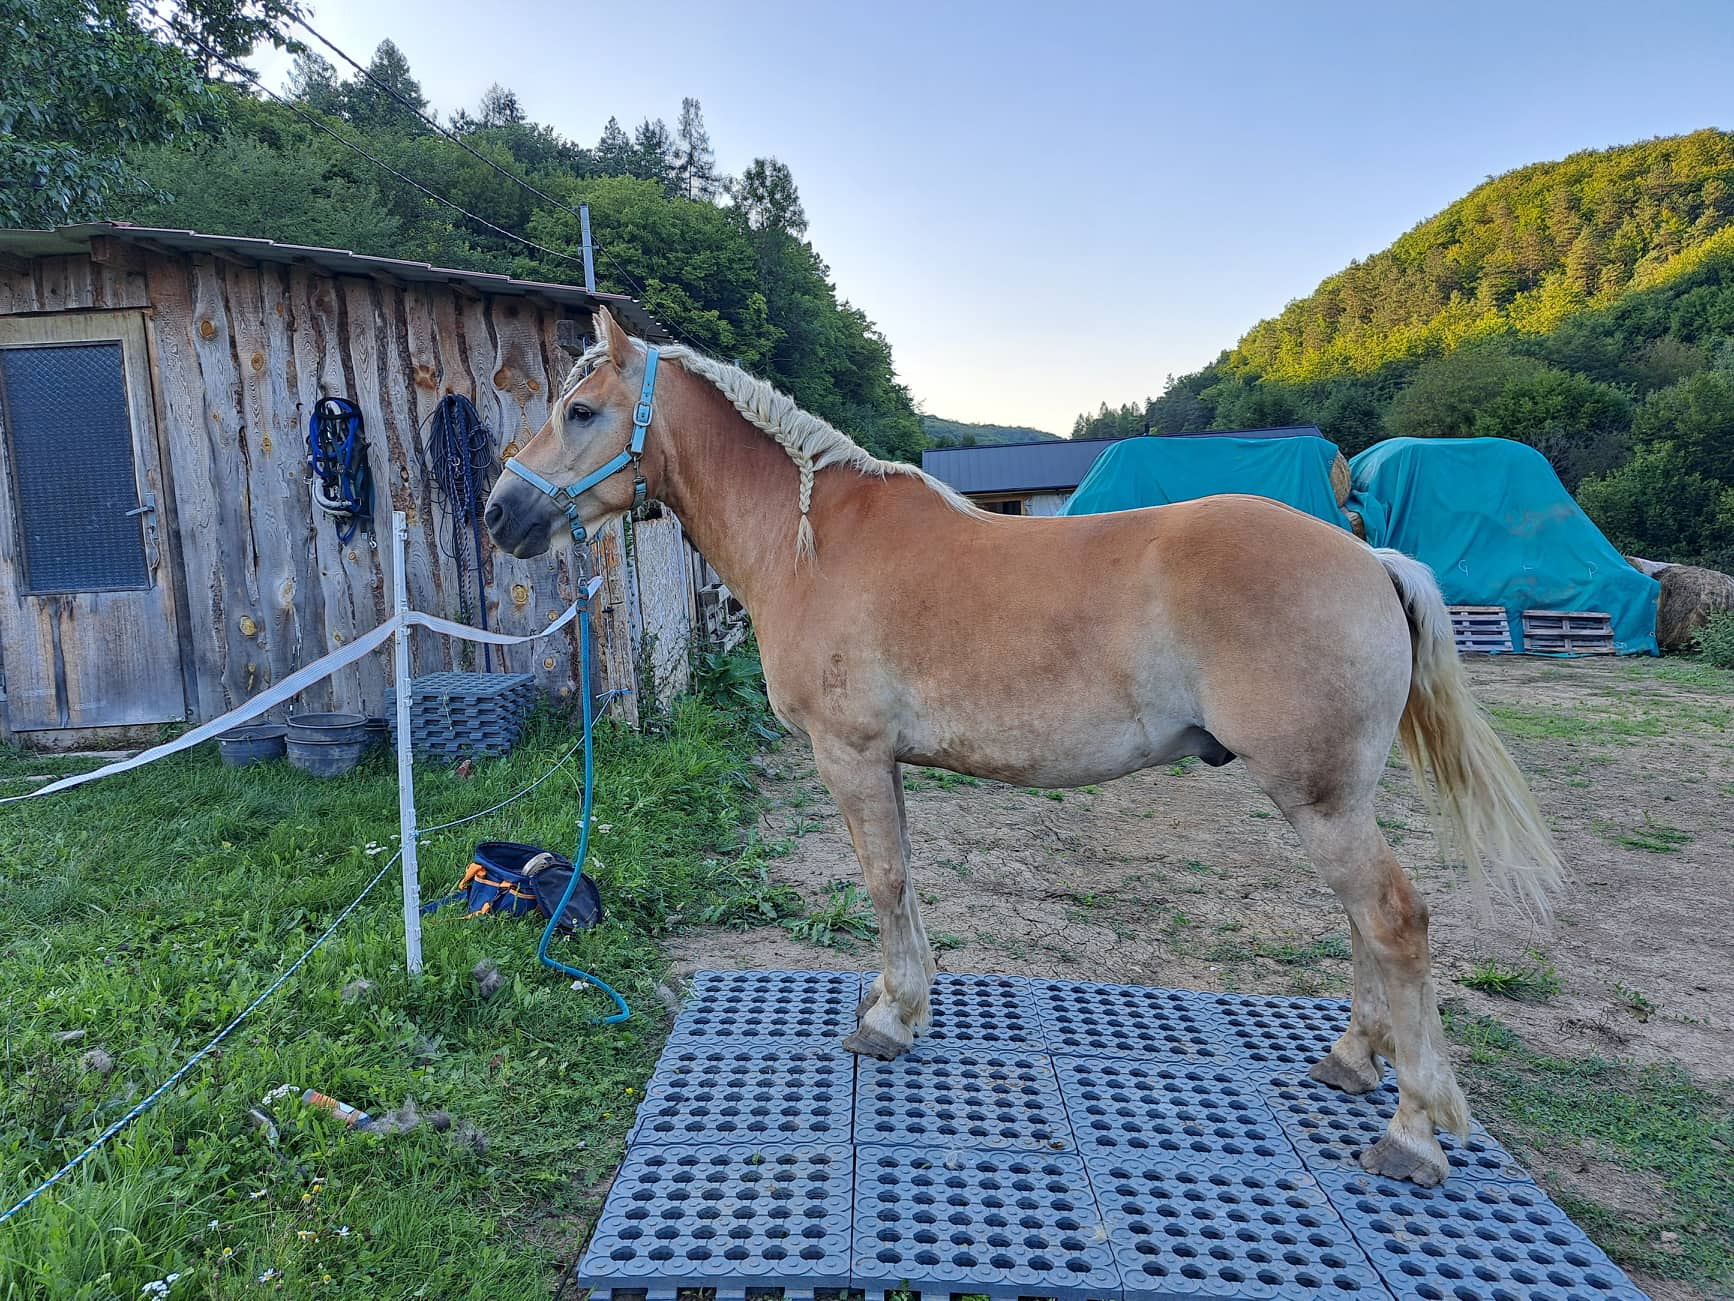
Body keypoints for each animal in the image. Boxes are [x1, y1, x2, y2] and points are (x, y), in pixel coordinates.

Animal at [482, 310, 1567, 1186]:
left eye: (582, 411)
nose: (500, 512)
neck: (813, 543)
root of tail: (1368, 555)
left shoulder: (850, 755)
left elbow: (884, 881)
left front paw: (888, 1021)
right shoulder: (881, 765)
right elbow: (903, 883)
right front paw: (901, 999)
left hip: (1320, 798)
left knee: (1393, 920)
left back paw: (1413, 1131)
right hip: (1331, 797)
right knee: (1364, 924)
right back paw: (1350, 1058)